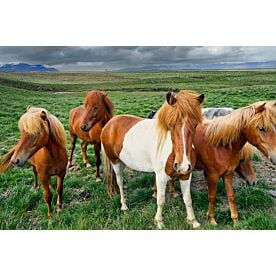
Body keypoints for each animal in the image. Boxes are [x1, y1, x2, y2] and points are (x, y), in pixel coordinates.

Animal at [100, 90, 204, 229]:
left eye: (195, 125)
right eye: (170, 124)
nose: (182, 165)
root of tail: (110, 123)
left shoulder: (186, 175)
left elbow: (188, 199)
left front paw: (193, 221)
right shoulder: (161, 176)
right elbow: (160, 200)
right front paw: (159, 222)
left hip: (122, 162)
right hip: (115, 162)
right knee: (120, 182)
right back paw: (124, 206)